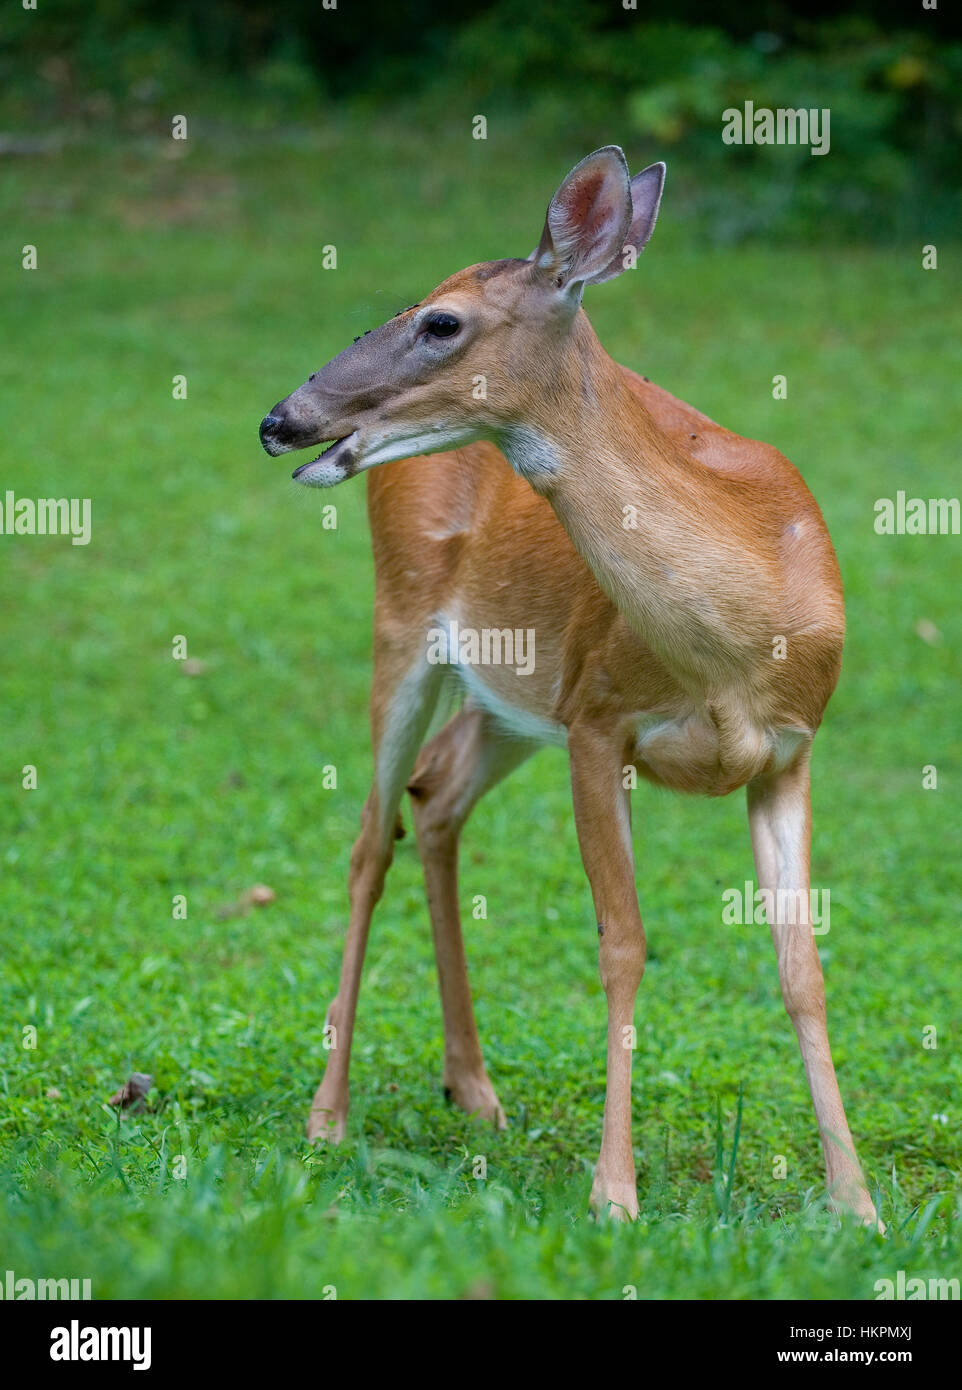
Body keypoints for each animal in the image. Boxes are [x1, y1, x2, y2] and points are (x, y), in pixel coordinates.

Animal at [259, 146, 884, 1223]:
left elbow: (801, 965)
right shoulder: (599, 721)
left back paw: (471, 1087)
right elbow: (622, 942)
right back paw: (327, 1116)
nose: (282, 419)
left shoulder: (790, 751)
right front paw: (614, 1193)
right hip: (404, 622)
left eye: (440, 321)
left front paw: (856, 1203)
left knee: (435, 795)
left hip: (512, 698)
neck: (734, 647)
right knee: (368, 840)